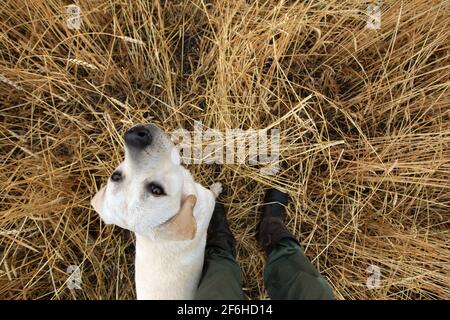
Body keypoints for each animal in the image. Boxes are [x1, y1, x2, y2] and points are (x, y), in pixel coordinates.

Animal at [92, 123, 223, 300]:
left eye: (115, 176)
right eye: (156, 190)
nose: (135, 137)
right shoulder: (207, 199)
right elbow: (213, 193)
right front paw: (217, 187)